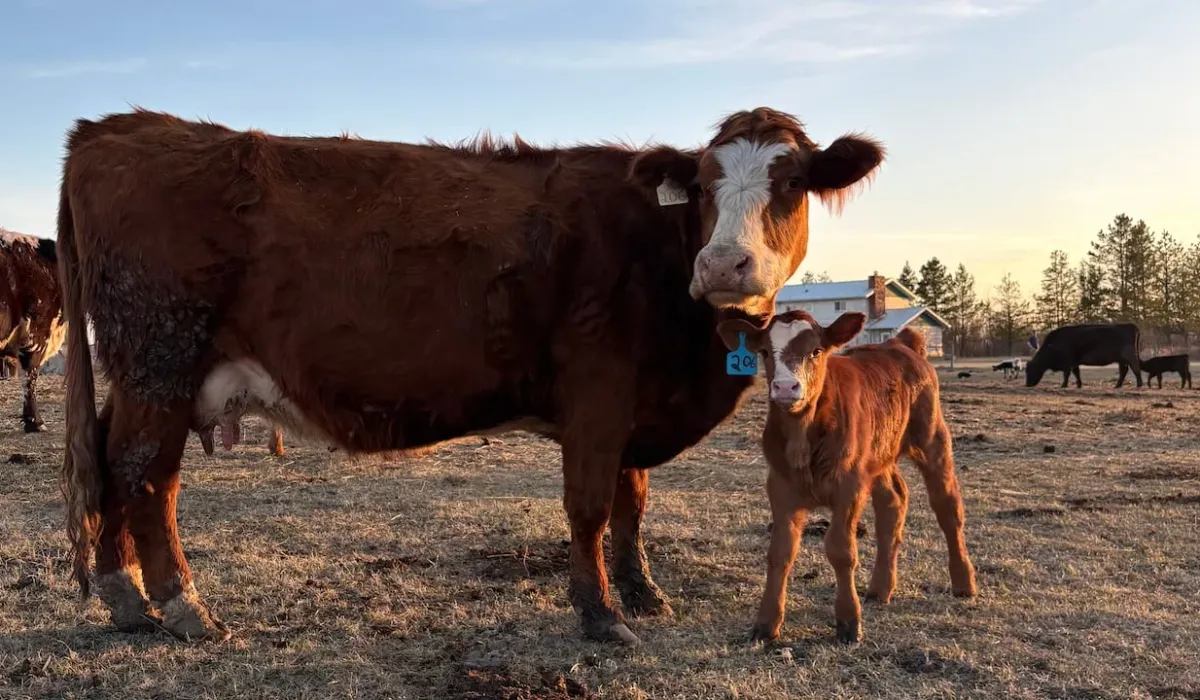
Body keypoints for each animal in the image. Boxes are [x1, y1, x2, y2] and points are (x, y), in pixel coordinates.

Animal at [56, 107, 885, 644]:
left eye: (791, 183)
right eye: (708, 185)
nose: (722, 265)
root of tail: (119, 126)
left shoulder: (631, 407)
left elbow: (632, 502)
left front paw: (643, 592)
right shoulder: (597, 398)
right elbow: (590, 507)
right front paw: (601, 613)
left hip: (143, 377)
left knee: (109, 463)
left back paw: (125, 599)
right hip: (162, 362)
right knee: (145, 476)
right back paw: (182, 607)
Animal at [716, 311, 976, 645]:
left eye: (816, 351)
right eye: (763, 352)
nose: (785, 387)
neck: (803, 437)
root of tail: (899, 343)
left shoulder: (849, 486)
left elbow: (840, 549)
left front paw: (848, 622)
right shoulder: (780, 486)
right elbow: (780, 552)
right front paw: (766, 623)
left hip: (932, 439)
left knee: (947, 507)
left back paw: (964, 583)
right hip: (877, 456)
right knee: (892, 503)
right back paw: (880, 588)